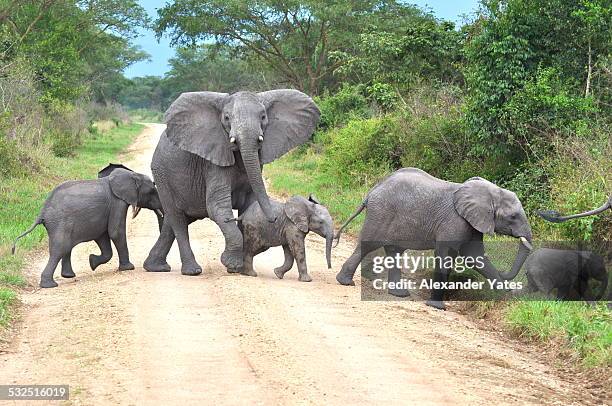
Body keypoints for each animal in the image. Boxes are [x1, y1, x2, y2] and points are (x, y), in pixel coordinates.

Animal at [13, 163, 164, 288]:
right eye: (152, 191)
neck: (132, 175)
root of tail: (42, 212)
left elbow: (103, 236)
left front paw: (92, 262)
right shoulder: (117, 203)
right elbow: (116, 231)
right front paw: (128, 268)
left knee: (65, 247)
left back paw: (68, 276)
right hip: (60, 222)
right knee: (59, 249)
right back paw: (50, 285)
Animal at [143, 90, 320, 276]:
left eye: (263, 116)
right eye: (227, 118)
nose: (274, 218)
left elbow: (249, 206)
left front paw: (240, 269)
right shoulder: (214, 161)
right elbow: (217, 206)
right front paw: (233, 265)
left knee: (172, 223)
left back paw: (156, 267)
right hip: (162, 175)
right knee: (177, 219)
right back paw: (192, 271)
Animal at [332, 167, 532, 310]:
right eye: (513, 216)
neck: (490, 192)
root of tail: (372, 191)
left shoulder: (472, 223)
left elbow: (475, 256)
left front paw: (507, 293)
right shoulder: (455, 221)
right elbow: (445, 254)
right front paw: (437, 307)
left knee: (393, 251)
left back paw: (399, 294)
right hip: (381, 213)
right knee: (367, 245)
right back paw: (345, 282)